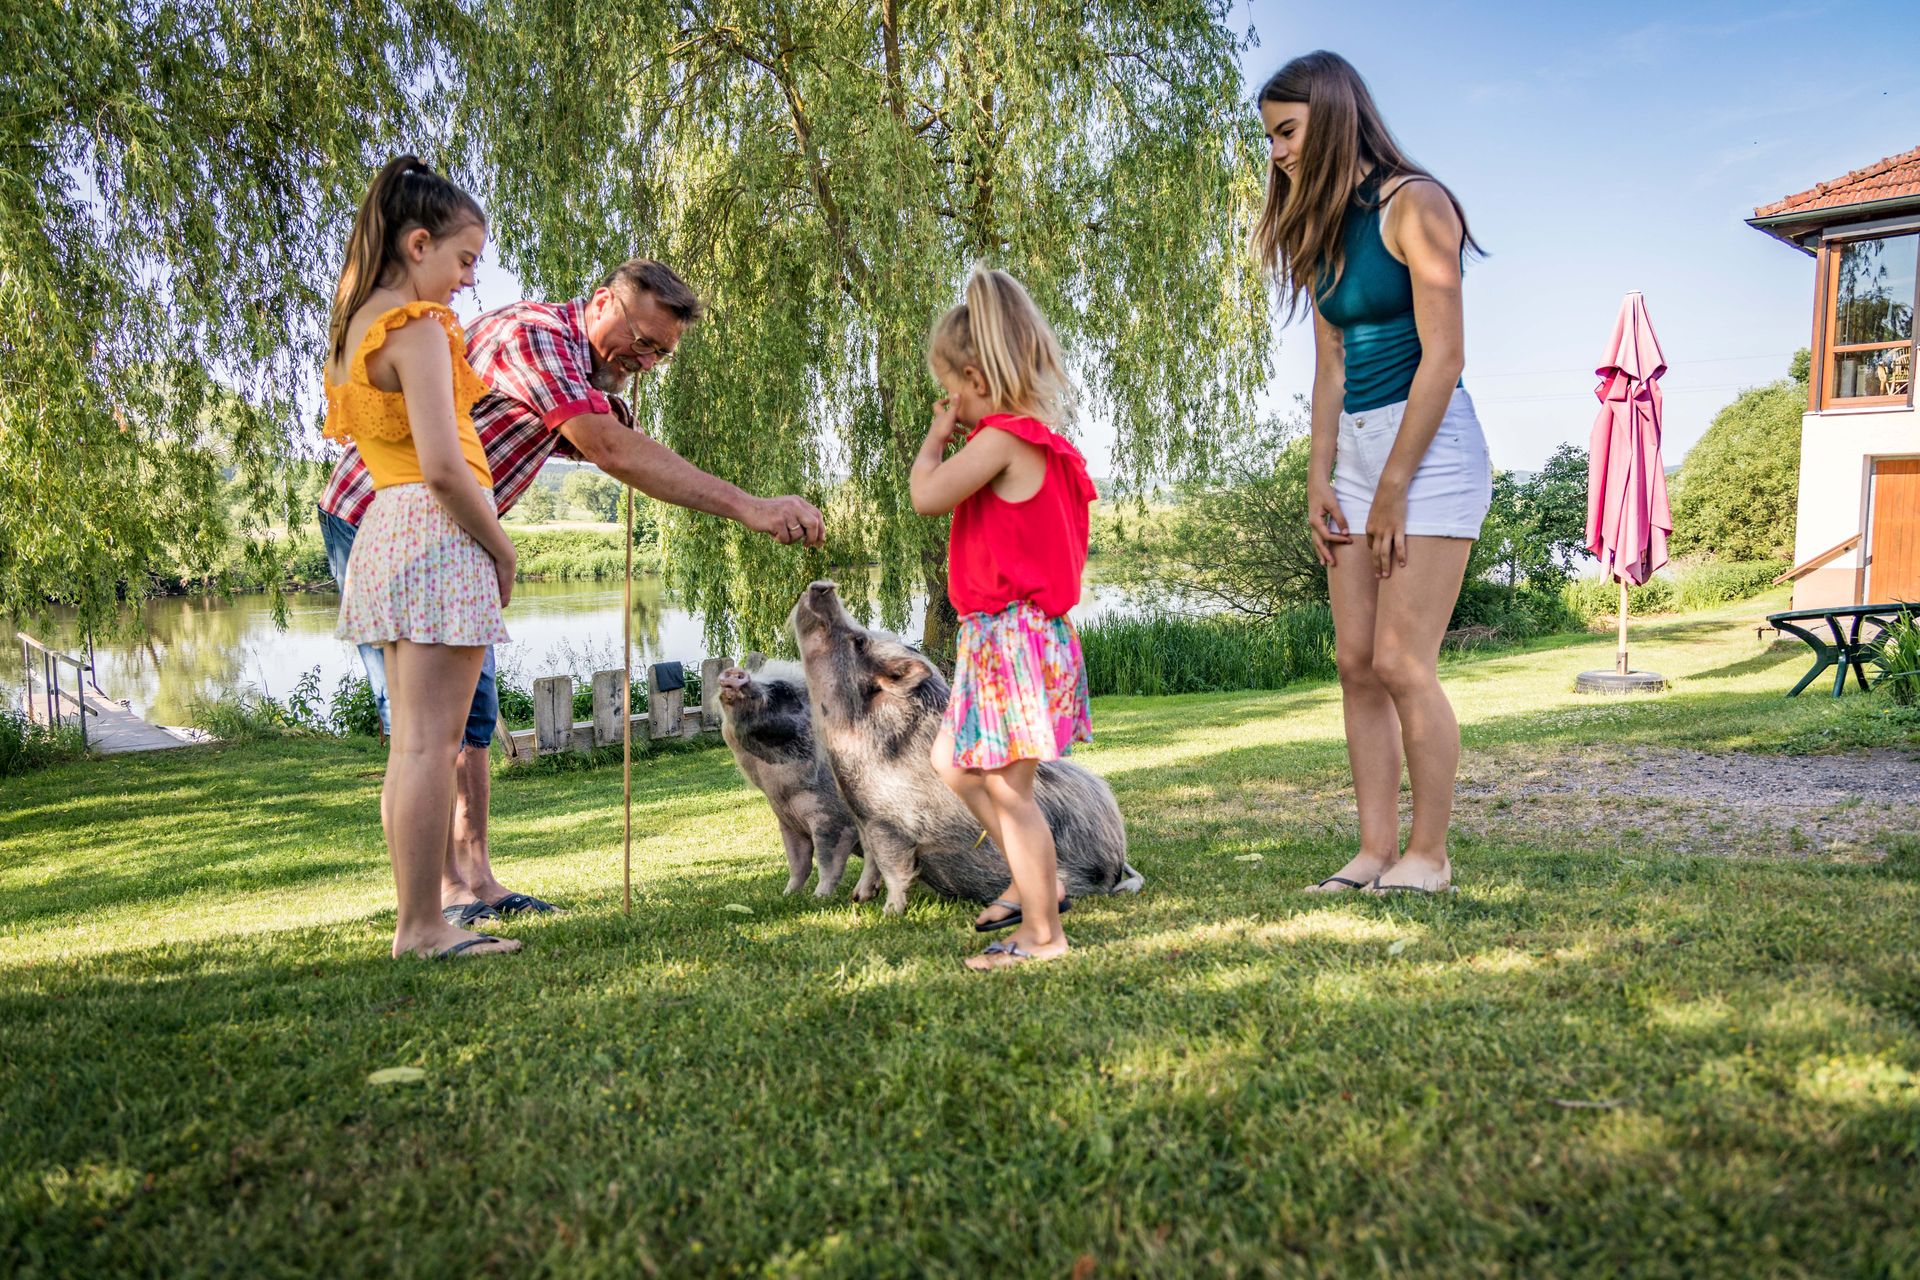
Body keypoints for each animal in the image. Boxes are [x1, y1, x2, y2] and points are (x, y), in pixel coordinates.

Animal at [714, 667, 864, 898]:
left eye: (783, 690)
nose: (734, 671)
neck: (784, 795)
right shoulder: (786, 822)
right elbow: (798, 863)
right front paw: (787, 895)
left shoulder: (833, 821)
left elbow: (828, 862)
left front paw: (818, 897)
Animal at [783, 575, 1136, 917]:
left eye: (859, 641)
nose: (824, 585)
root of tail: (1117, 856)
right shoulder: (863, 819)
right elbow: (870, 861)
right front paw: (859, 898)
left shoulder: (892, 824)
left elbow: (893, 868)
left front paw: (890, 913)